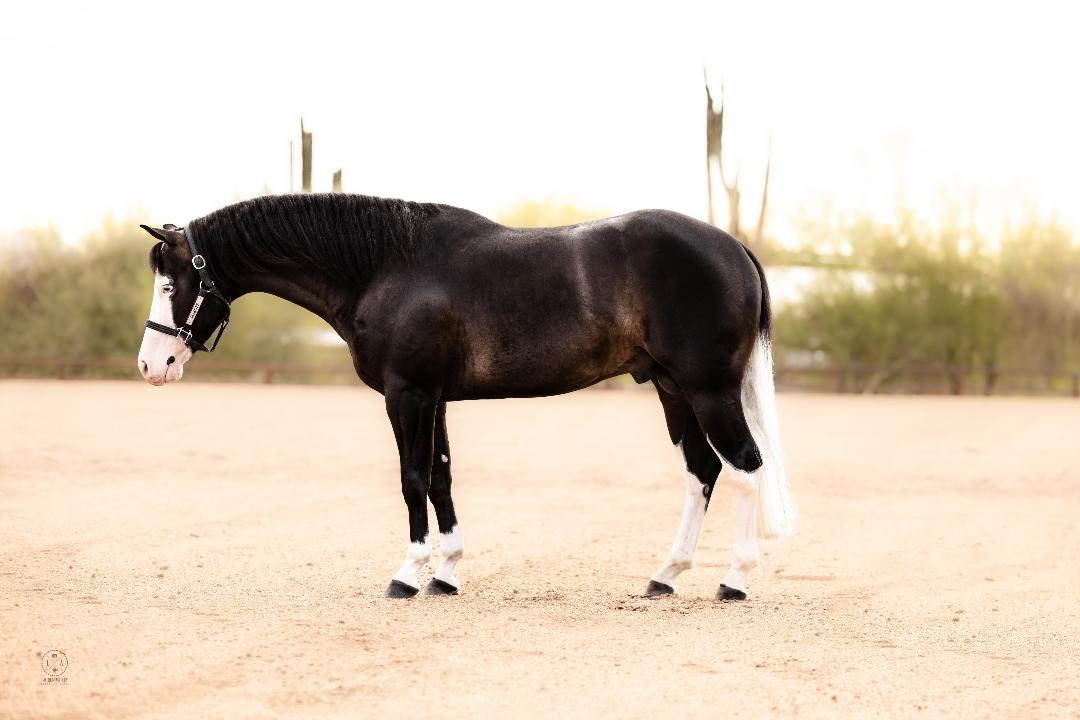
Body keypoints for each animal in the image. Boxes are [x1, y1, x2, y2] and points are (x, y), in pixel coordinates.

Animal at [136, 193, 794, 600]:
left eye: (172, 283)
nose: (151, 365)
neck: (383, 268)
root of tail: (733, 248)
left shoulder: (407, 394)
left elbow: (413, 479)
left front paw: (408, 574)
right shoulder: (436, 398)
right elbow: (442, 475)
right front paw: (447, 572)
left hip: (708, 389)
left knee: (744, 467)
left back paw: (734, 580)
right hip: (670, 387)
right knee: (702, 470)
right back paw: (666, 575)